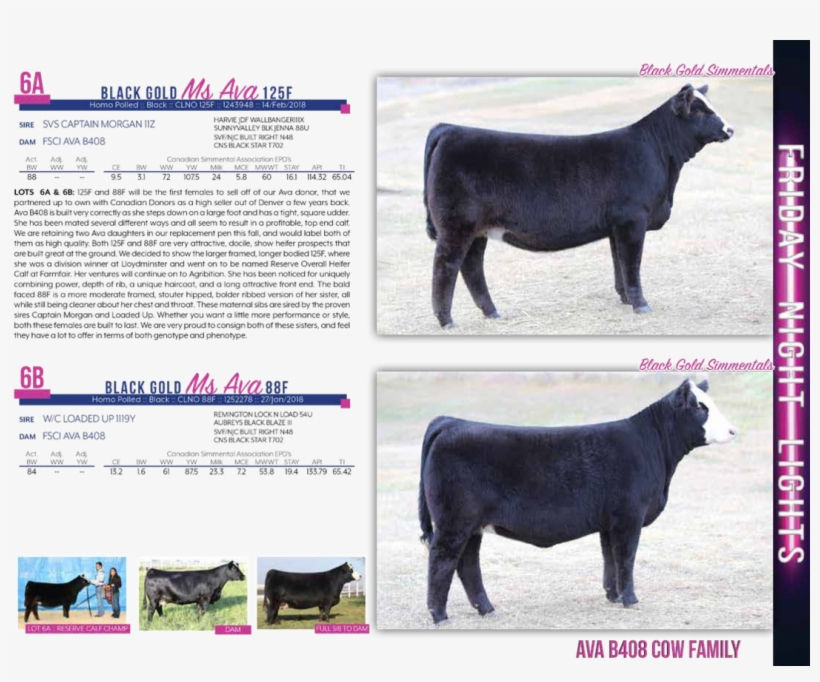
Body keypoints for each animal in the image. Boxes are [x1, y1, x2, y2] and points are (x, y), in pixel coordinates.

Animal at [418, 379, 737, 625]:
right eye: (700, 407)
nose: (733, 430)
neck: (653, 447)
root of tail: (451, 422)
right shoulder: (629, 517)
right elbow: (627, 558)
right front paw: (631, 599)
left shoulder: (610, 522)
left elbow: (610, 558)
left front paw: (613, 595)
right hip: (454, 522)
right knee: (442, 561)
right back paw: (440, 616)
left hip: (471, 525)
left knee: (467, 564)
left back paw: (486, 609)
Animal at [423, 84, 734, 327]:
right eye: (699, 110)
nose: (729, 129)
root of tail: (449, 129)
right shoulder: (633, 219)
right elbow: (632, 263)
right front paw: (641, 304)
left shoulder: (617, 225)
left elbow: (619, 263)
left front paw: (624, 298)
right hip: (456, 226)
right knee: (445, 268)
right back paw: (446, 320)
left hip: (477, 230)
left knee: (472, 267)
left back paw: (491, 312)